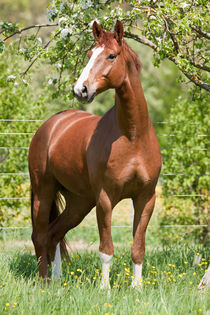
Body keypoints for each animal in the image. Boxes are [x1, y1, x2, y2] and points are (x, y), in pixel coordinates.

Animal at [28, 20, 162, 288]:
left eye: (111, 55)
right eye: (90, 54)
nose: (80, 90)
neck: (133, 137)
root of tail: (50, 126)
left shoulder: (146, 197)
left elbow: (138, 247)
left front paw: (137, 289)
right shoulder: (105, 198)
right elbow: (106, 249)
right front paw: (105, 289)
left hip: (79, 203)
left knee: (54, 234)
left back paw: (58, 281)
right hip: (44, 192)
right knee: (40, 236)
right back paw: (45, 283)